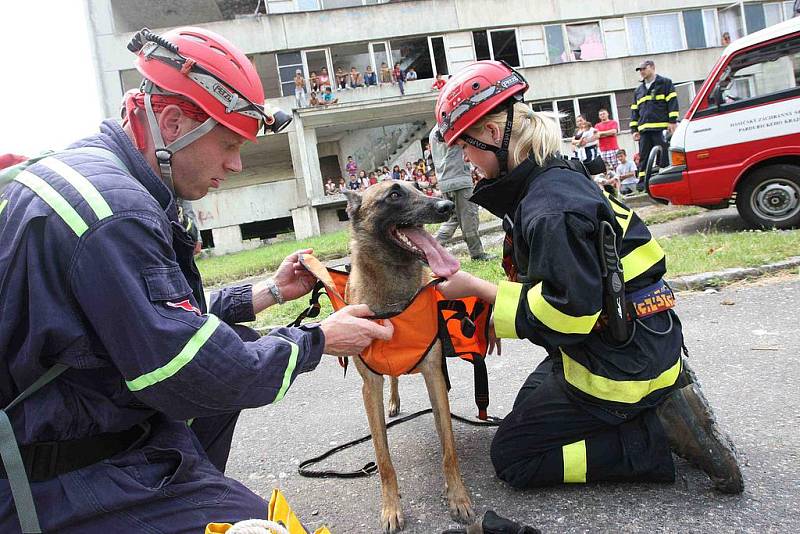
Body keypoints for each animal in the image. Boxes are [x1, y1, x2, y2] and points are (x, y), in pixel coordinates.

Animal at [344, 182, 476, 532]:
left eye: (420, 187)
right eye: (394, 194)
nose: (447, 206)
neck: (395, 300)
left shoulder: (434, 375)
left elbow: (449, 448)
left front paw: (458, 498)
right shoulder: (369, 387)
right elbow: (383, 459)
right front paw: (391, 508)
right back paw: (393, 402)